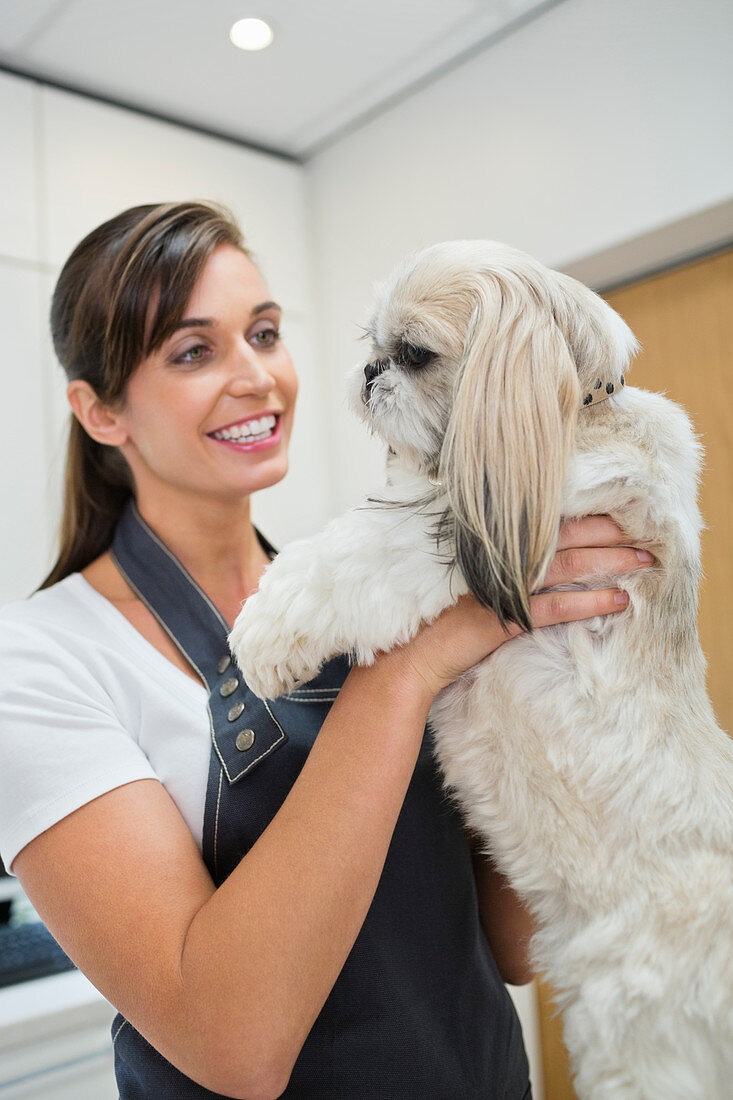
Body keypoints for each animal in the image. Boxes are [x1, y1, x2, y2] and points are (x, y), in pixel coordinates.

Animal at [230, 243, 730, 1100]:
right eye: (372, 344)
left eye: (413, 354)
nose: (370, 371)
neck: (576, 413)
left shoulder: (480, 530)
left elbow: (347, 558)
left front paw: (261, 638)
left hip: (641, 1039)